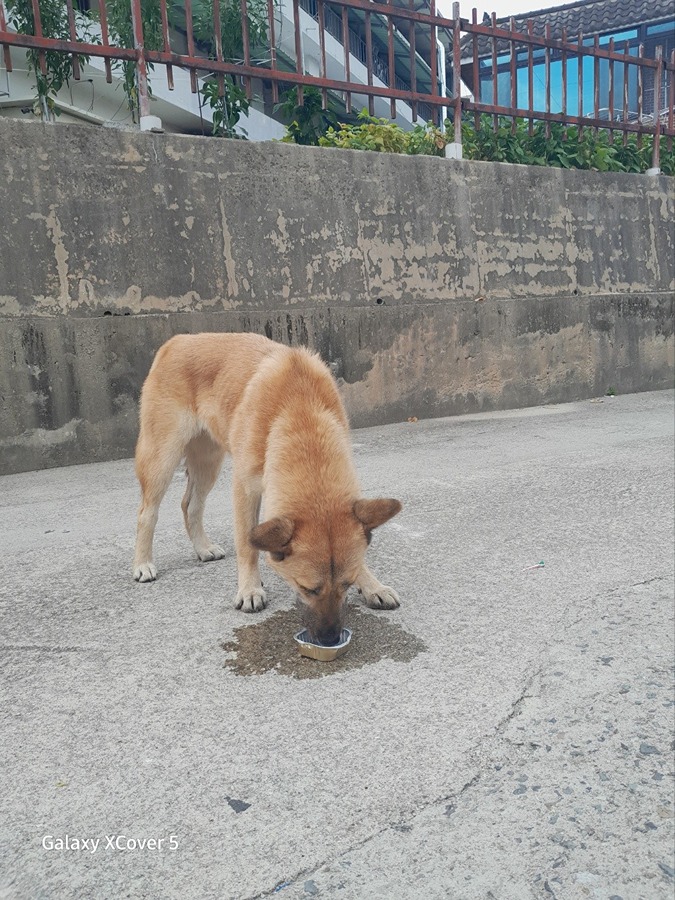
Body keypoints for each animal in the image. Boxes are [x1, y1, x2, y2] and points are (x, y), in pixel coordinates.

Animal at [132, 334, 402, 644]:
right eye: (307, 588)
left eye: (347, 583)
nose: (330, 640)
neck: (301, 413)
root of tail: (176, 341)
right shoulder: (244, 489)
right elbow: (246, 545)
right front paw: (250, 589)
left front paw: (372, 584)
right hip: (162, 459)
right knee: (147, 513)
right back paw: (142, 563)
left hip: (208, 462)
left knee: (191, 506)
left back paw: (202, 548)